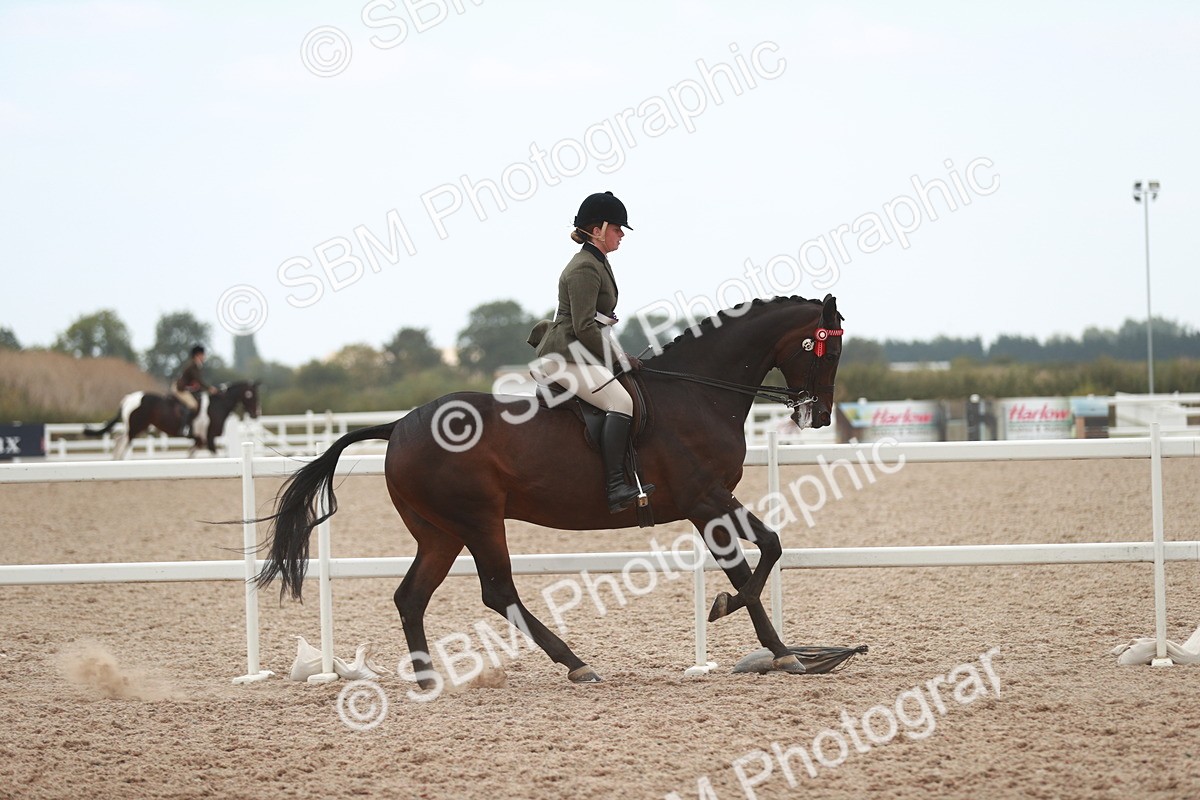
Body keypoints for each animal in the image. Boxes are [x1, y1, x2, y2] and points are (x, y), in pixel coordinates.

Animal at [85, 381, 261, 459]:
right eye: (250, 395)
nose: (256, 414)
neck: (217, 406)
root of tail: (129, 398)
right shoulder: (209, 438)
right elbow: (215, 456)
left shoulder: (200, 440)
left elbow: (190, 454)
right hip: (135, 428)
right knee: (122, 443)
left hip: (136, 428)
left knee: (118, 440)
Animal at [256, 294, 843, 686]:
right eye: (827, 351)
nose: (818, 416)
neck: (697, 393)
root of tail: (398, 423)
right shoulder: (705, 501)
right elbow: (750, 568)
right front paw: (758, 631)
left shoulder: (714, 500)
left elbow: (769, 547)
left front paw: (778, 647)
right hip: (479, 521)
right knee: (498, 592)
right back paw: (576, 664)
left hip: (440, 533)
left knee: (412, 596)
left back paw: (428, 680)